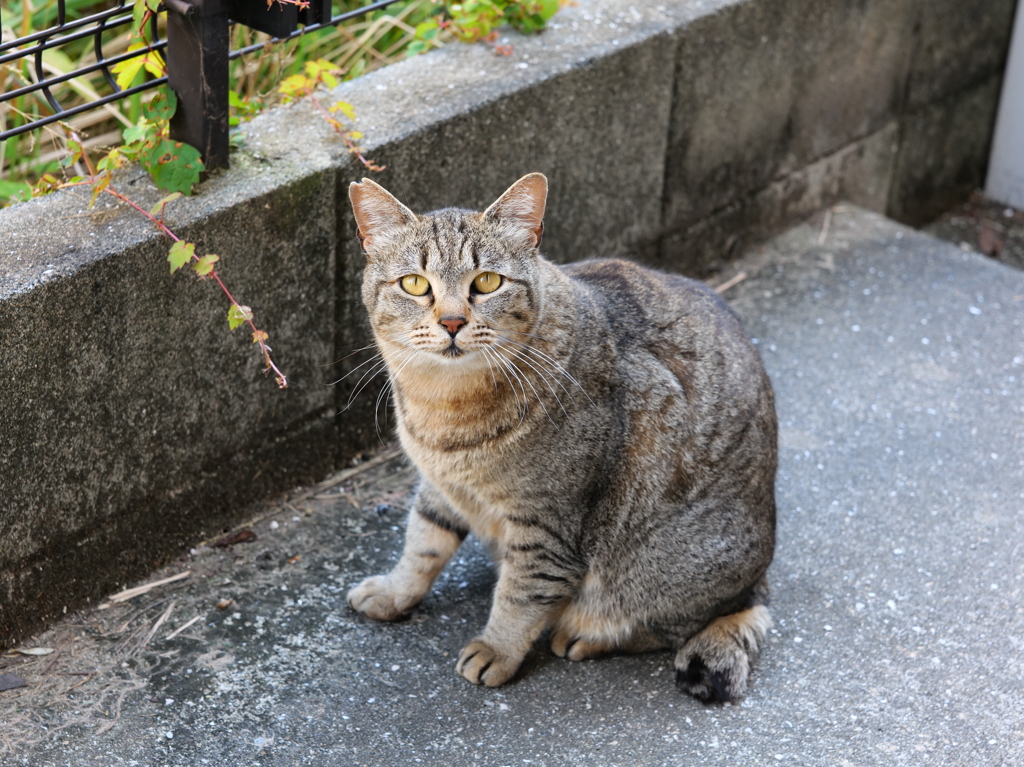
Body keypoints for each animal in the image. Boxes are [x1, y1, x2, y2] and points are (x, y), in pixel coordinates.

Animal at [344, 173, 774, 700]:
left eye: (487, 282)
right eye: (415, 284)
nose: (452, 321)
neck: (444, 408)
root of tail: (758, 579)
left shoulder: (546, 523)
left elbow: (520, 595)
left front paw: (497, 650)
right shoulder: (440, 486)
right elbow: (421, 544)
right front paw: (393, 592)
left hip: (666, 567)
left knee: (675, 622)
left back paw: (587, 635)